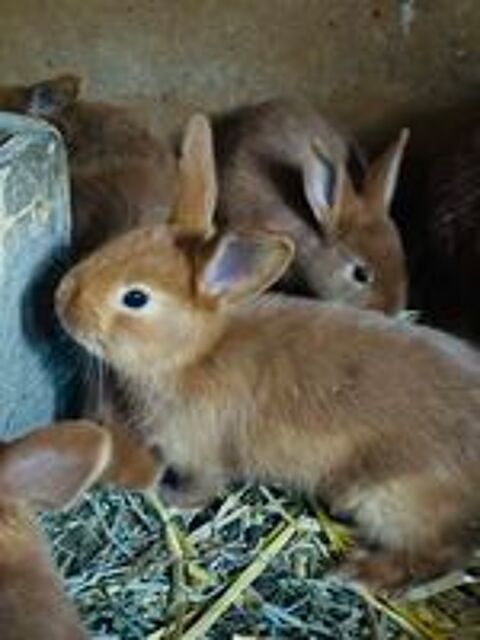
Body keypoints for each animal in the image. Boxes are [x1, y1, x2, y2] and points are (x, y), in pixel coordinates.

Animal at [54, 113, 480, 594]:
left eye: (135, 298)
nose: (60, 298)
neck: (194, 352)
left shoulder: (200, 455)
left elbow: (202, 487)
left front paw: (169, 498)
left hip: (388, 498)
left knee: (444, 555)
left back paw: (358, 574)